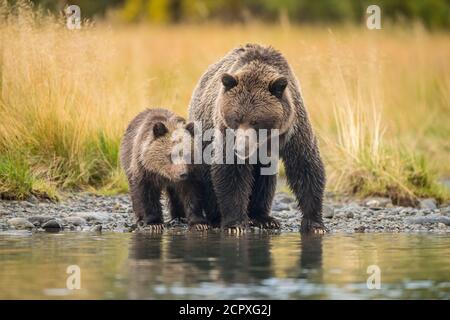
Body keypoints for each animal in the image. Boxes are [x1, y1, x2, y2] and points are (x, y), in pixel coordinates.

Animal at [188, 43, 326, 232]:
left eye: (255, 121)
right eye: (236, 118)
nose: (241, 147)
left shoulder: (294, 129)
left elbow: (305, 166)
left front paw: (315, 224)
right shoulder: (225, 133)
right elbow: (230, 172)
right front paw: (235, 224)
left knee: (265, 180)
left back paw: (263, 218)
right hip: (204, 133)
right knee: (207, 177)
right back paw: (215, 217)